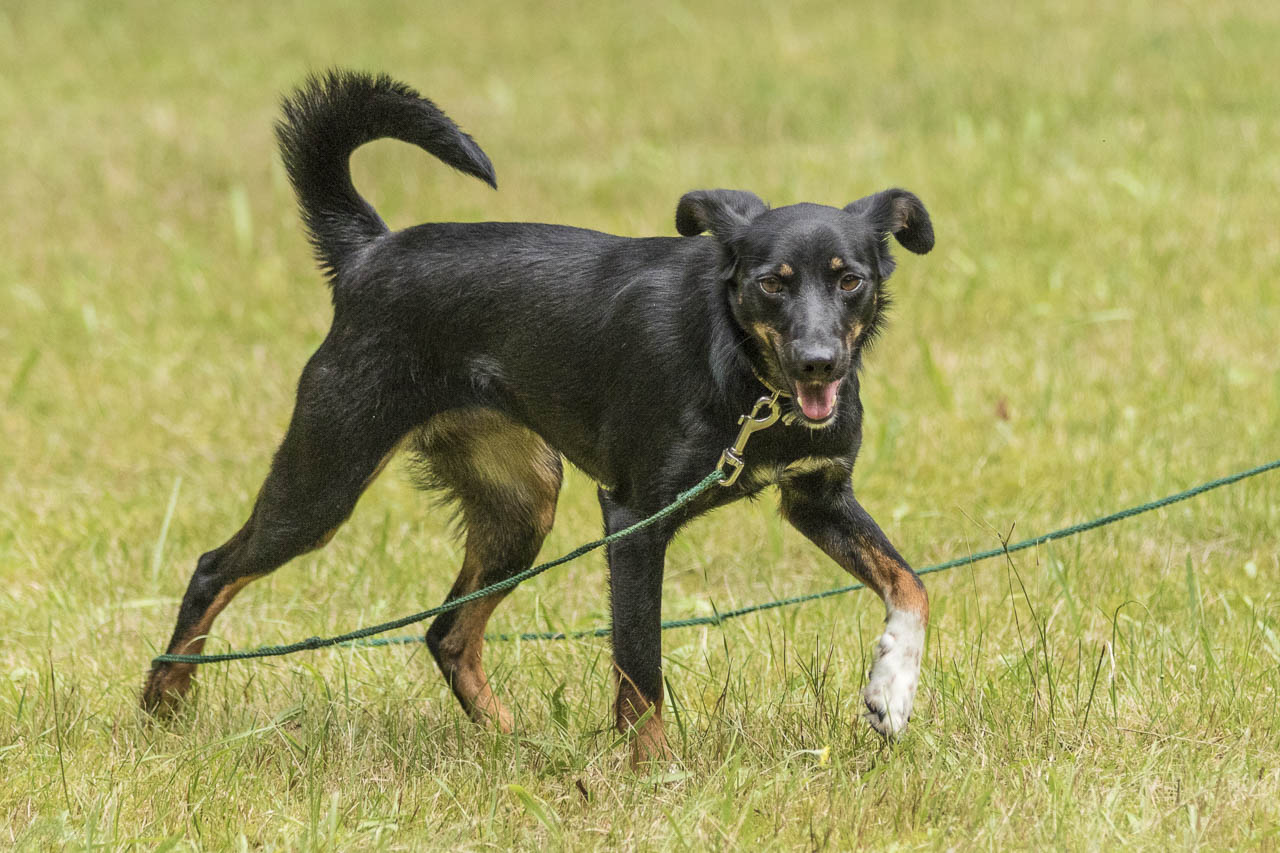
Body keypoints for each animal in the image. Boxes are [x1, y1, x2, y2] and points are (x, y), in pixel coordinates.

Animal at [142, 70, 935, 765]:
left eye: (849, 281)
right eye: (773, 284)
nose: (819, 363)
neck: (749, 380)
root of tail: (370, 251)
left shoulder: (818, 498)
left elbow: (911, 583)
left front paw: (891, 688)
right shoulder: (634, 521)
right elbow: (641, 668)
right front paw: (654, 775)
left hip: (521, 504)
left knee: (447, 633)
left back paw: (511, 740)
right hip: (325, 479)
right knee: (213, 570)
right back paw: (162, 704)